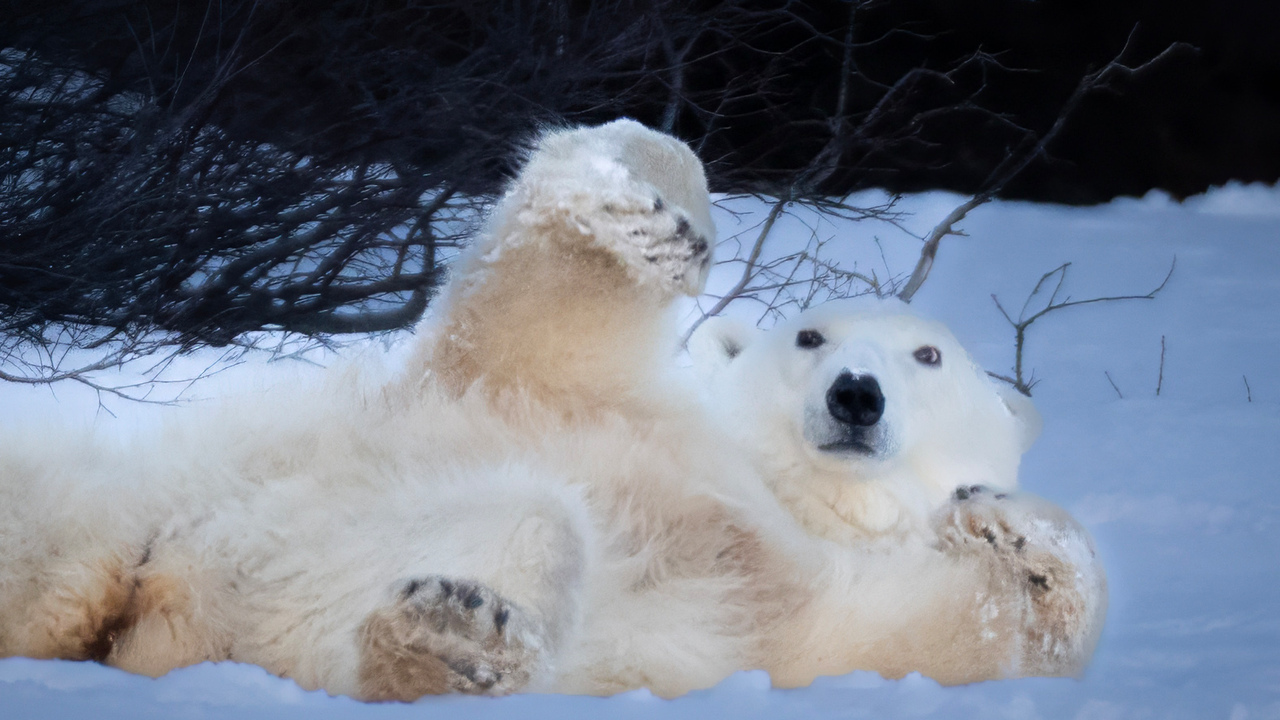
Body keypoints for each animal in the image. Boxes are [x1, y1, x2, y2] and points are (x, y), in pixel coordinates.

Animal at [0, 119, 1102, 700]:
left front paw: (1004, 522)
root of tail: (144, 596)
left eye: (928, 355)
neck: (773, 492)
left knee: (526, 526)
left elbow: (949, 630)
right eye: (809, 337)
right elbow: (537, 313)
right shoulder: (558, 394)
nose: (855, 395)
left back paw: (450, 637)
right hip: (110, 493)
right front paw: (643, 209)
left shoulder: (799, 610)